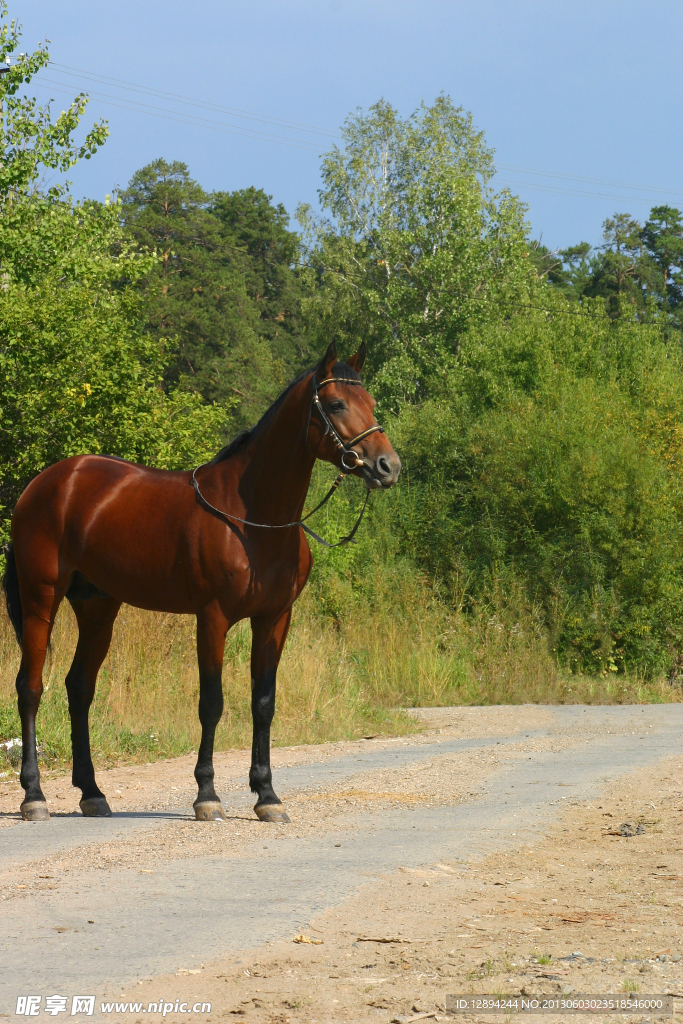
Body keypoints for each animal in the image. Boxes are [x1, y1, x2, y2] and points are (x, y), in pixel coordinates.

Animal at [1, 344, 401, 823]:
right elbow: (212, 703)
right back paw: (34, 796)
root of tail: (44, 484)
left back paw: (92, 793)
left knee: (79, 687)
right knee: (30, 688)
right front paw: (207, 795)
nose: (388, 466)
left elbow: (263, 703)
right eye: (338, 404)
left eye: (371, 403)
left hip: (98, 608)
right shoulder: (213, 617)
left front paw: (267, 796)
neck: (253, 519)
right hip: (41, 598)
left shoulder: (274, 619)